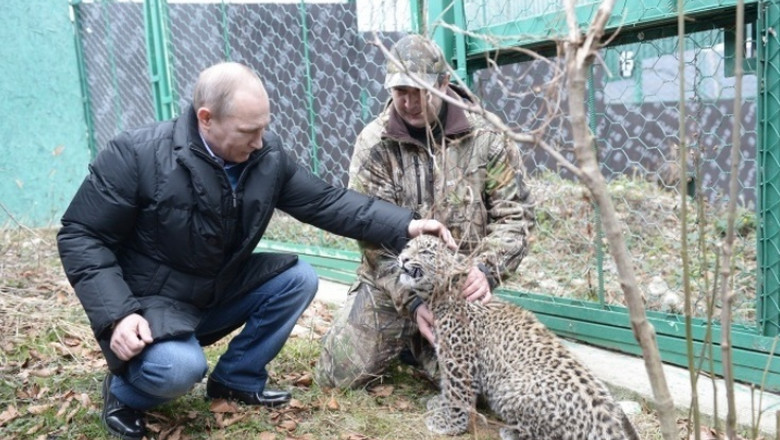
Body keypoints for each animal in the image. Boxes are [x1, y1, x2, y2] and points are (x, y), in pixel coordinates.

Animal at [397, 235, 640, 440]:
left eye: (426, 252)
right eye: (407, 246)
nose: (403, 258)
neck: (440, 295)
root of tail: (605, 418)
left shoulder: (460, 359)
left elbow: (457, 392)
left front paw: (449, 423)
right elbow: (447, 386)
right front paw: (440, 403)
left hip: (506, 389)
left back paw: (512, 432)